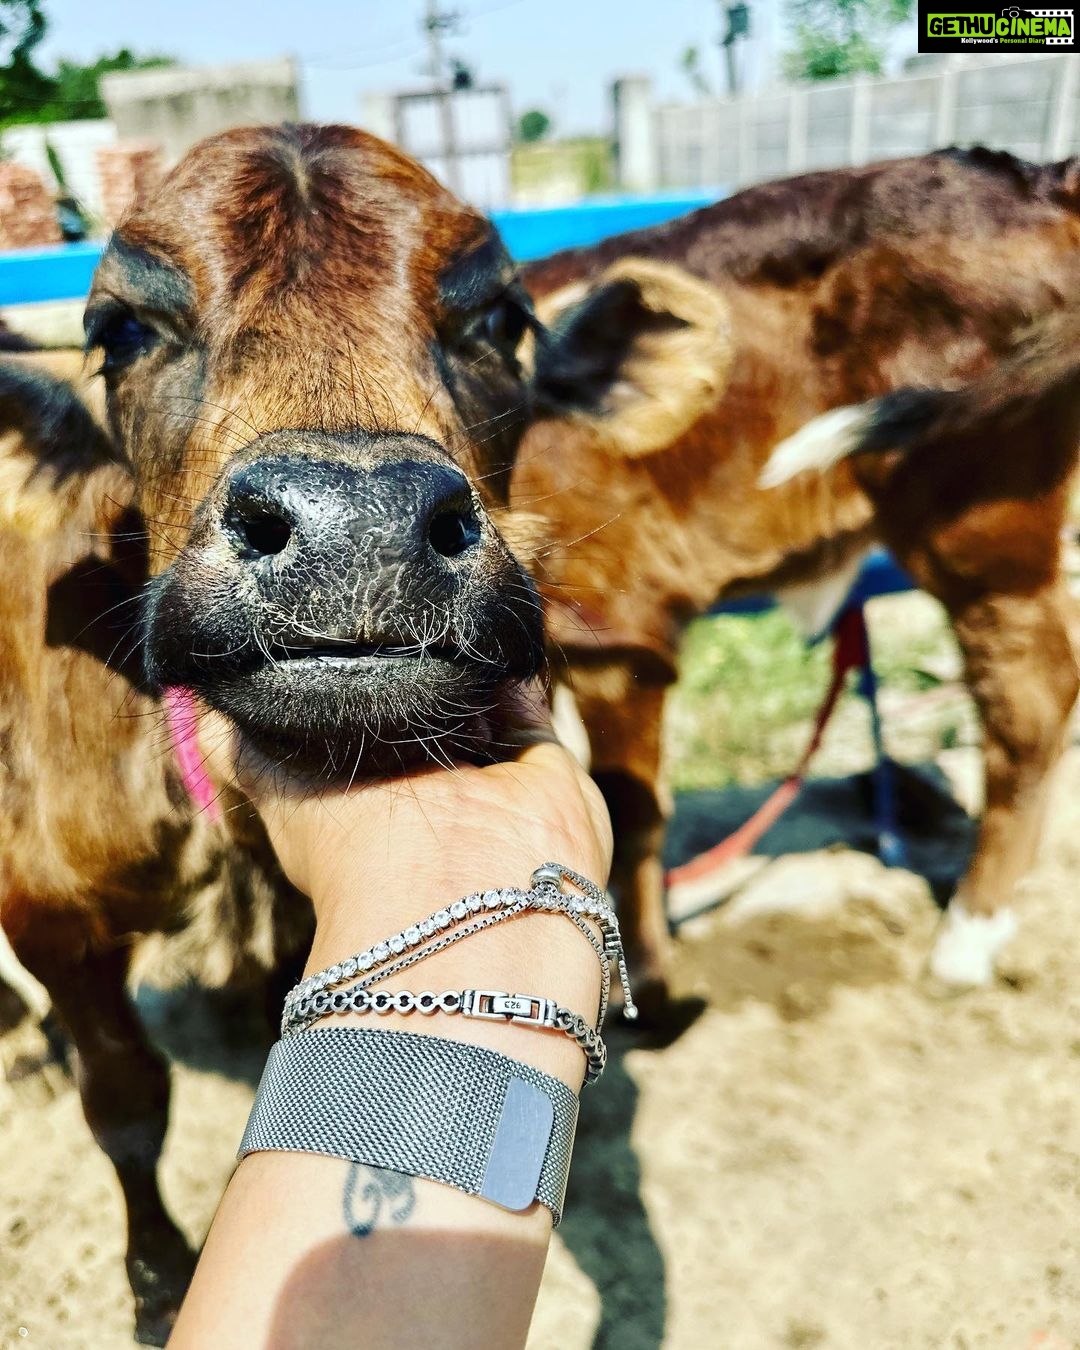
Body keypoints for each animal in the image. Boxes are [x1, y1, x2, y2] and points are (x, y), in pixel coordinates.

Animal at [514, 147, 1080, 1017]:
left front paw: (645, 982)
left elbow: (629, 811)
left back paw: (967, 936)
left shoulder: (613, 627)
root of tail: (1036, 179)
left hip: (985, 525)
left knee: (1032, 699)